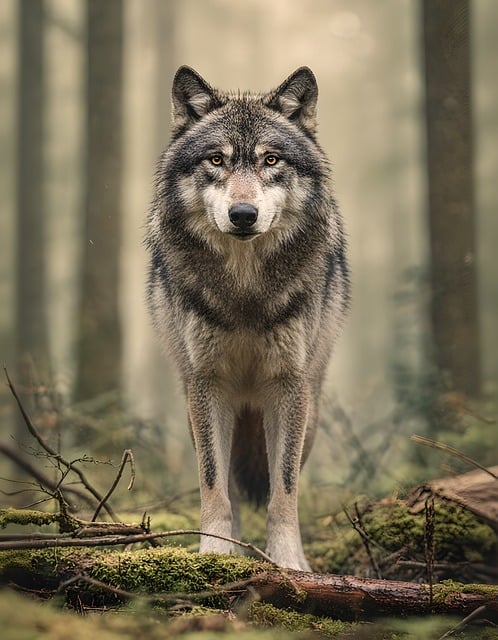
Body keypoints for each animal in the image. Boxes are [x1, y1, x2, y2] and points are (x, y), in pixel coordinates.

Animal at [146, 66, 349, 571]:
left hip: (310, 411)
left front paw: (289, 563)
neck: (245, 291)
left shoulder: (288, 386)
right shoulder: (207, 383)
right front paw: (216, 553)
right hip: (201, 409)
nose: (242, 214)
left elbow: (284, 491)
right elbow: (213, 485)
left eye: (270, 159)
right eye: (216, 160)